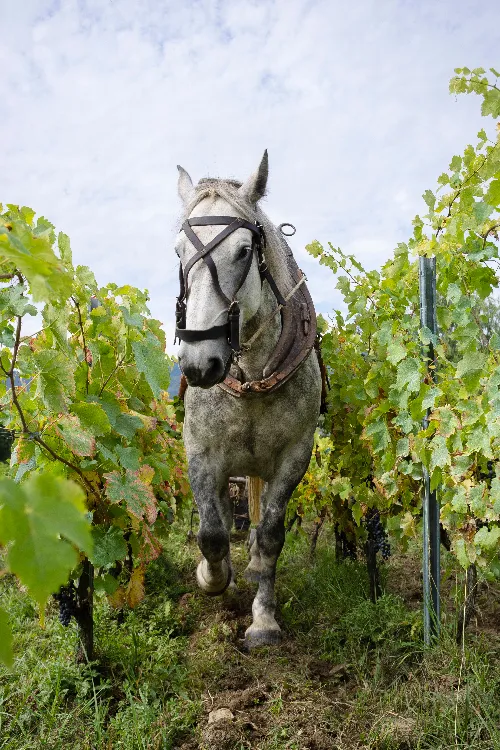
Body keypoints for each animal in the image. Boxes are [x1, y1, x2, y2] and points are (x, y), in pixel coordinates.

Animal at [174, 150, 322, 648]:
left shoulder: (296, 453)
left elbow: (272, 532)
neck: (253, 376)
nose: (199, 362)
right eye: (179, 252)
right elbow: (212, 533)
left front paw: (263, 620)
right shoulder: (200, 450)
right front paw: (212, 577)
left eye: (242, 251)